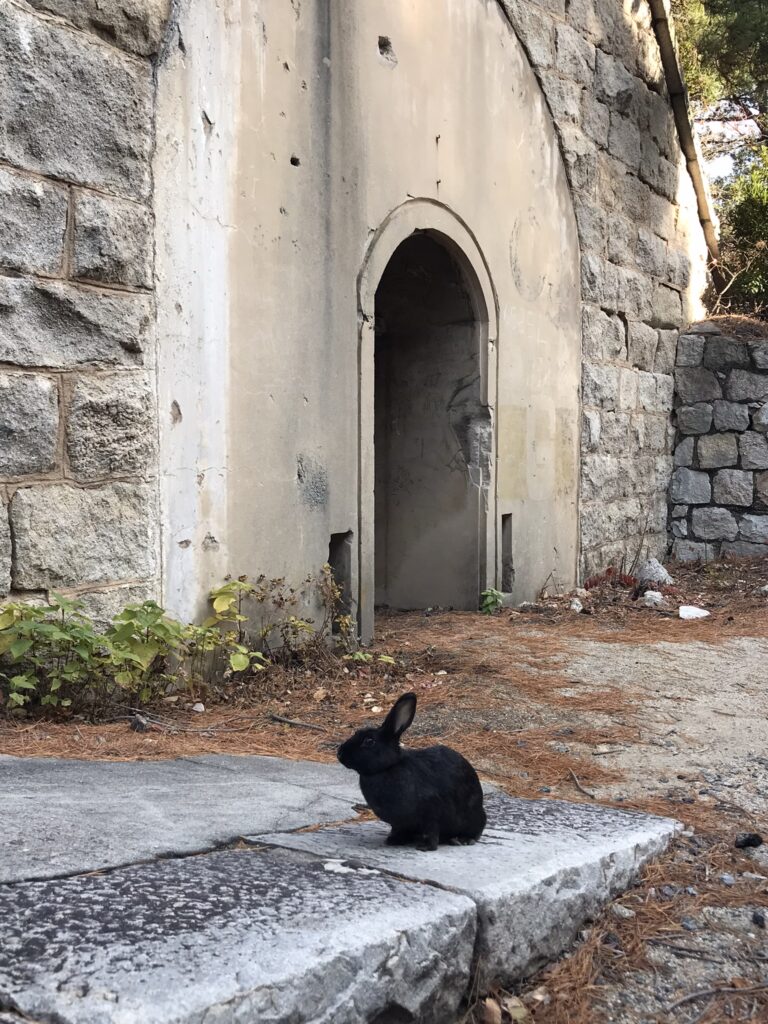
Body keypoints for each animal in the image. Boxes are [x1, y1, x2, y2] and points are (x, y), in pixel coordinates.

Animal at [337, 692, 486, 851]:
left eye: (369, 741)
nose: (340, 753)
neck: (389, 767)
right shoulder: (399, 824)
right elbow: (398, 830)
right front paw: (393, 840)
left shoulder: (431, 813)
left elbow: (431, 831)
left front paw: (425, 847)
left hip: (472, 815)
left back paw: (462, 840)